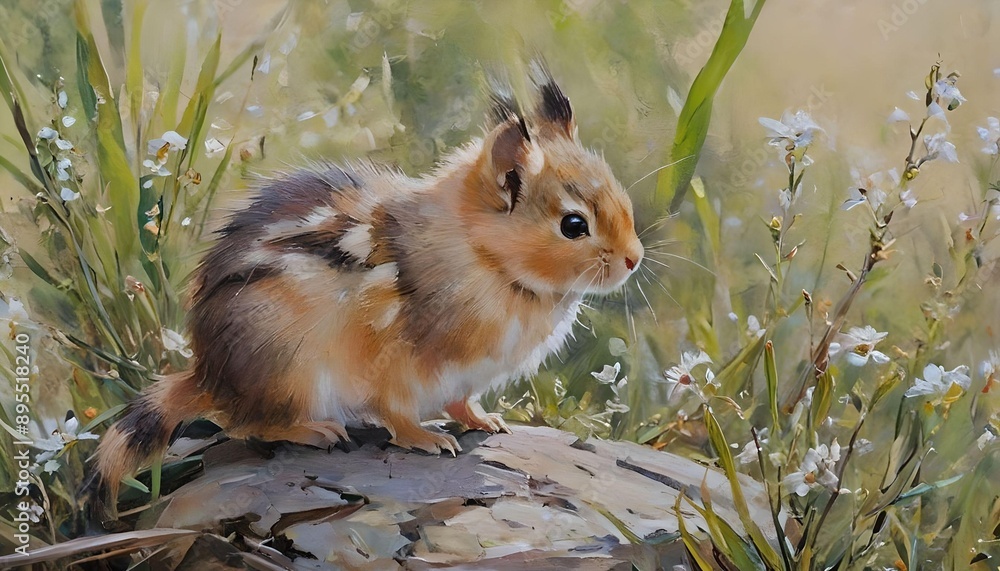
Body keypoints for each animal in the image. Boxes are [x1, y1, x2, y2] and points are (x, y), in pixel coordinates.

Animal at [93, 62, 644, 511]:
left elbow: (462, 402)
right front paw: (423, 439)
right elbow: (394, 410)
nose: (633, 260)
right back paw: (314, 430)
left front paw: (485, 421)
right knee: (246, 423)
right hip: (290, 371)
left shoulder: (465, 377)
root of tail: (208, 374)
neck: (485, 259)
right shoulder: (399, 366)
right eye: (573, 225)